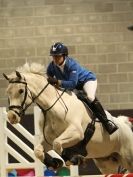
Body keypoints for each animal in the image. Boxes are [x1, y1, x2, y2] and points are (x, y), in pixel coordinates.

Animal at [3, 62, 133, 174]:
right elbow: (38, 151)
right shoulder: (48, 140)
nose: (12, 117)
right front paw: (54, 163)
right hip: (106, 163)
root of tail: (126, 127)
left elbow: (57, 144)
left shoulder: (76, 133)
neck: (52, 107)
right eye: (8, 92)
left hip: (128, 158)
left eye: (21, 90)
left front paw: (74, 159)